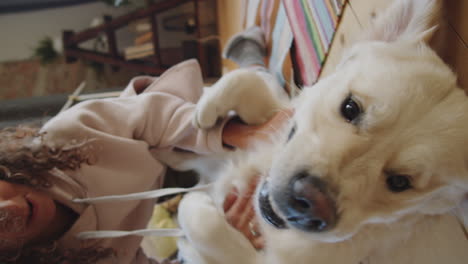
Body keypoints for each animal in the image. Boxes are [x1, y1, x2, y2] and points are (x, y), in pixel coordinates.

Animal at [176, 0, 468, 262]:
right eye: (350, 107)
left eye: (400, 183)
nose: (308, 206)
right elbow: (251, 82)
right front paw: (208, 105)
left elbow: (197, 217)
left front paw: (192, 216)